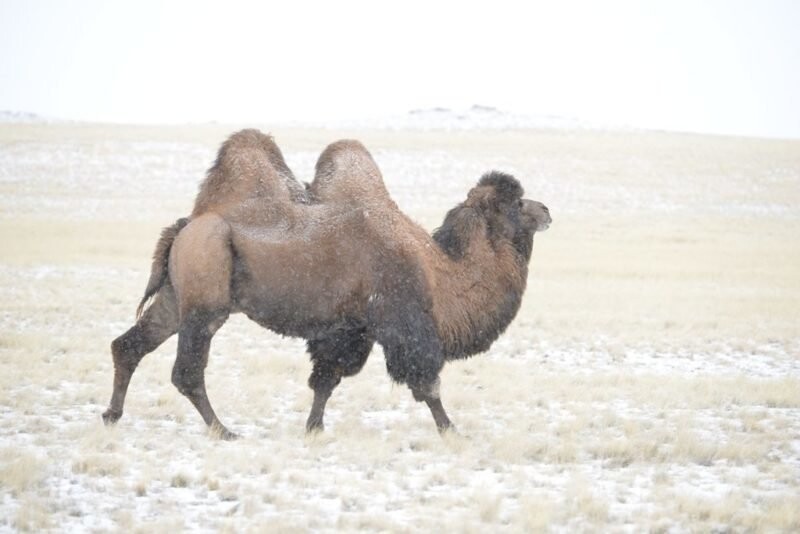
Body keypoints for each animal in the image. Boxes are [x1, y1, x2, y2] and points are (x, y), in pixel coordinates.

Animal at [101, 130, 552, 440]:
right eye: (517, 203)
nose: (547, 210)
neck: (439, 273)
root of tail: (185, 226)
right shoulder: (404, 324)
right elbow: (427, 383)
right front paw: (451, 430)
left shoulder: (349, 329)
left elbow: (325, 379)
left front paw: (313, 428)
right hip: (205, 299)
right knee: (187, 371)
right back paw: (223, 430)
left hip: (175, 296)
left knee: (129, 344)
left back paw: (111, 416)